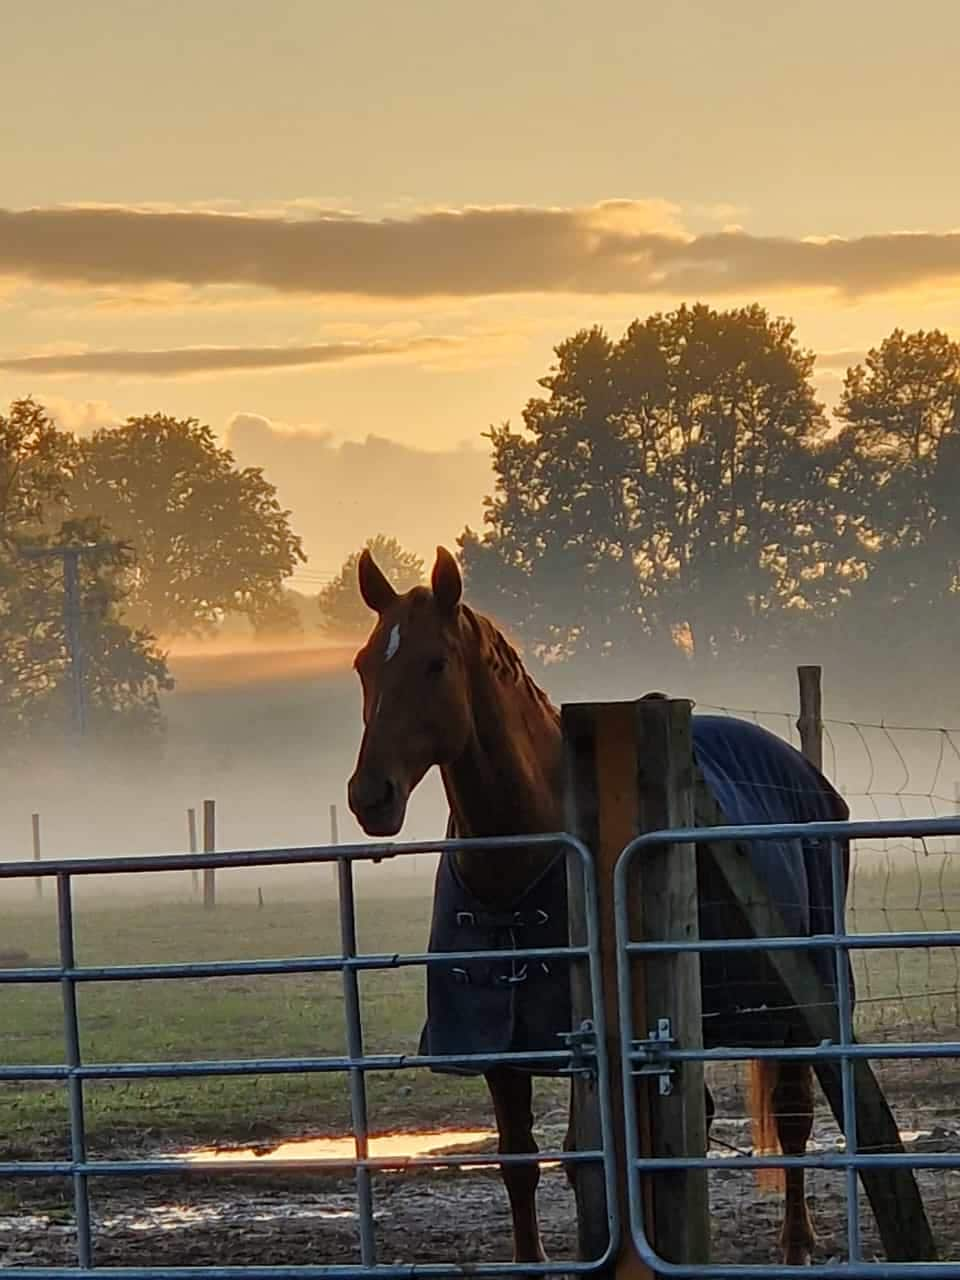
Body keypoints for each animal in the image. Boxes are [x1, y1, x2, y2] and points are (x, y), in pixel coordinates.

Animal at [348, 542, 849, 1269]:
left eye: (434, 662)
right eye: (364, 665)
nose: (370, 796)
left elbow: (588, 1162)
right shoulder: (498, 1050)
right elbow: (519, 1163)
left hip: (798, 1004)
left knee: (792, 1118)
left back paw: (795, 1245)